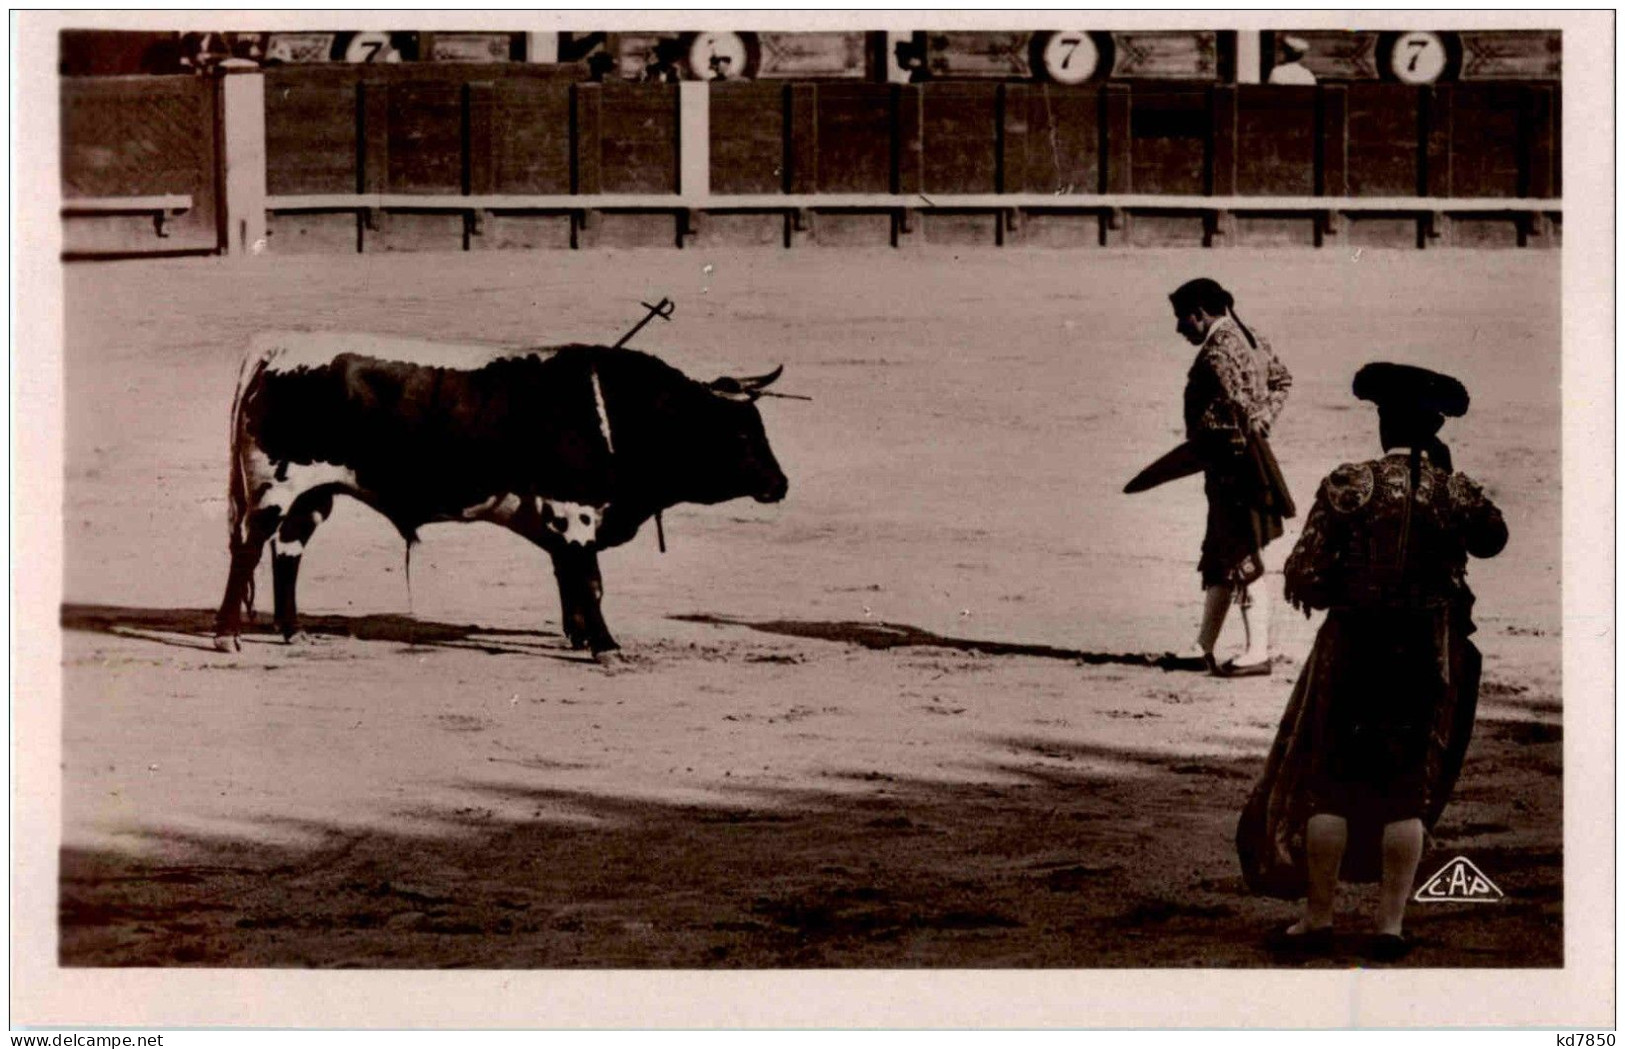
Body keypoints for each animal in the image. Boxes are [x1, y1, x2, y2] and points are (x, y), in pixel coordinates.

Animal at [214, 332, 786, 656]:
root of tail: (276, 350)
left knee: (288, 552)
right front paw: (605, 645)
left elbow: (573, 580)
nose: (780, 484)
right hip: (274, 489)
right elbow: (590, 580)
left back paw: (292, 631)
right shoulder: (575, 511)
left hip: (312, 496)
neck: (611, 410)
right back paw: (227, 636)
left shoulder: (563, 520)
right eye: (741, 435)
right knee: (248, 552)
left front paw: (581, 636)